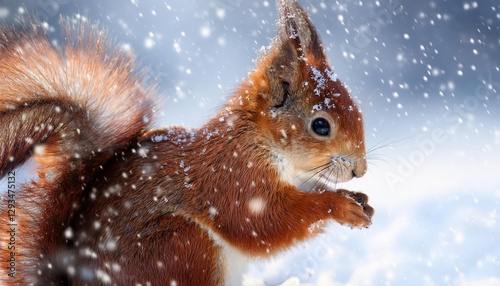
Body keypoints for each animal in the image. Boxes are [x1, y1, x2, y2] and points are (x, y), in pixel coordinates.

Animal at [0, 1, 372, 284]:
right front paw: (338, 206)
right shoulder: (234, 178)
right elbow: (265, 223)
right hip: (183, 246)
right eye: (320, 125)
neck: (260, 141)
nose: (361, 170)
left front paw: (359, 199)